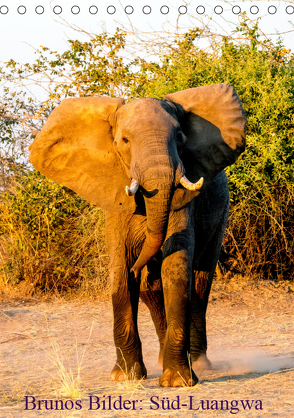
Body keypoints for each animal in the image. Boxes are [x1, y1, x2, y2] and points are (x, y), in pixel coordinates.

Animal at [29, 83, 246, 386]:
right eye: (124, 141)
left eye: (180, 137)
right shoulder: (115, 200)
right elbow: (122, 272)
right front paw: (125, 377)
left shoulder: (184, 203)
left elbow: (176, 271)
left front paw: (177, 382)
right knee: (150, 289)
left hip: (221, 212)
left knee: (200, 283)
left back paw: (200, 365)